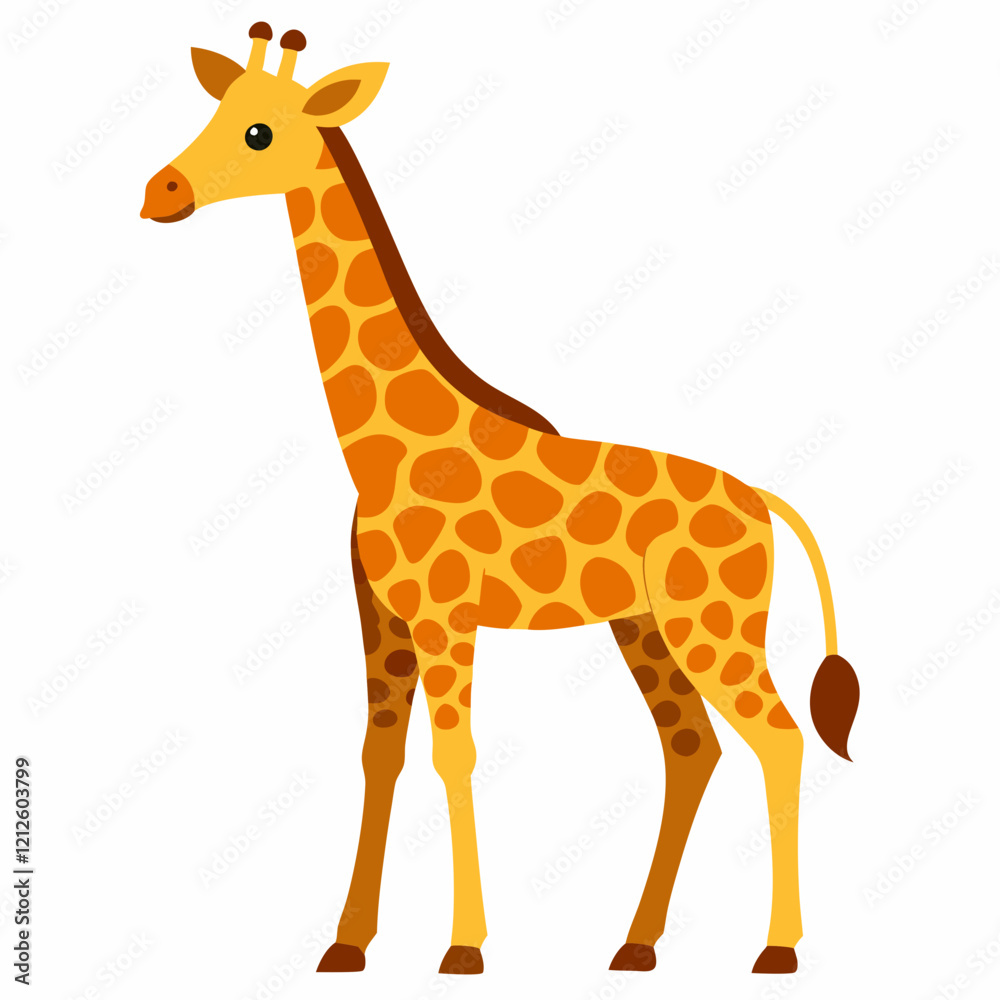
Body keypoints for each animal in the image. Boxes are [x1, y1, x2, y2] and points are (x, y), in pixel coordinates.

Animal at [140, 24, 860, 979]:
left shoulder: (447, 617)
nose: (161, 191)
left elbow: (455, 757)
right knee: (692, 749)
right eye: (218, 111)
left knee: (777, 738)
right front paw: (346, 943)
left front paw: (463, 948)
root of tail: (764, 499)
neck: (382, 448)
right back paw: (635, 944)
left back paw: (776, 949)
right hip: (644, 627)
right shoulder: (383, 617)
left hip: (715, 623)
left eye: (259, 133)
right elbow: (379, 756)